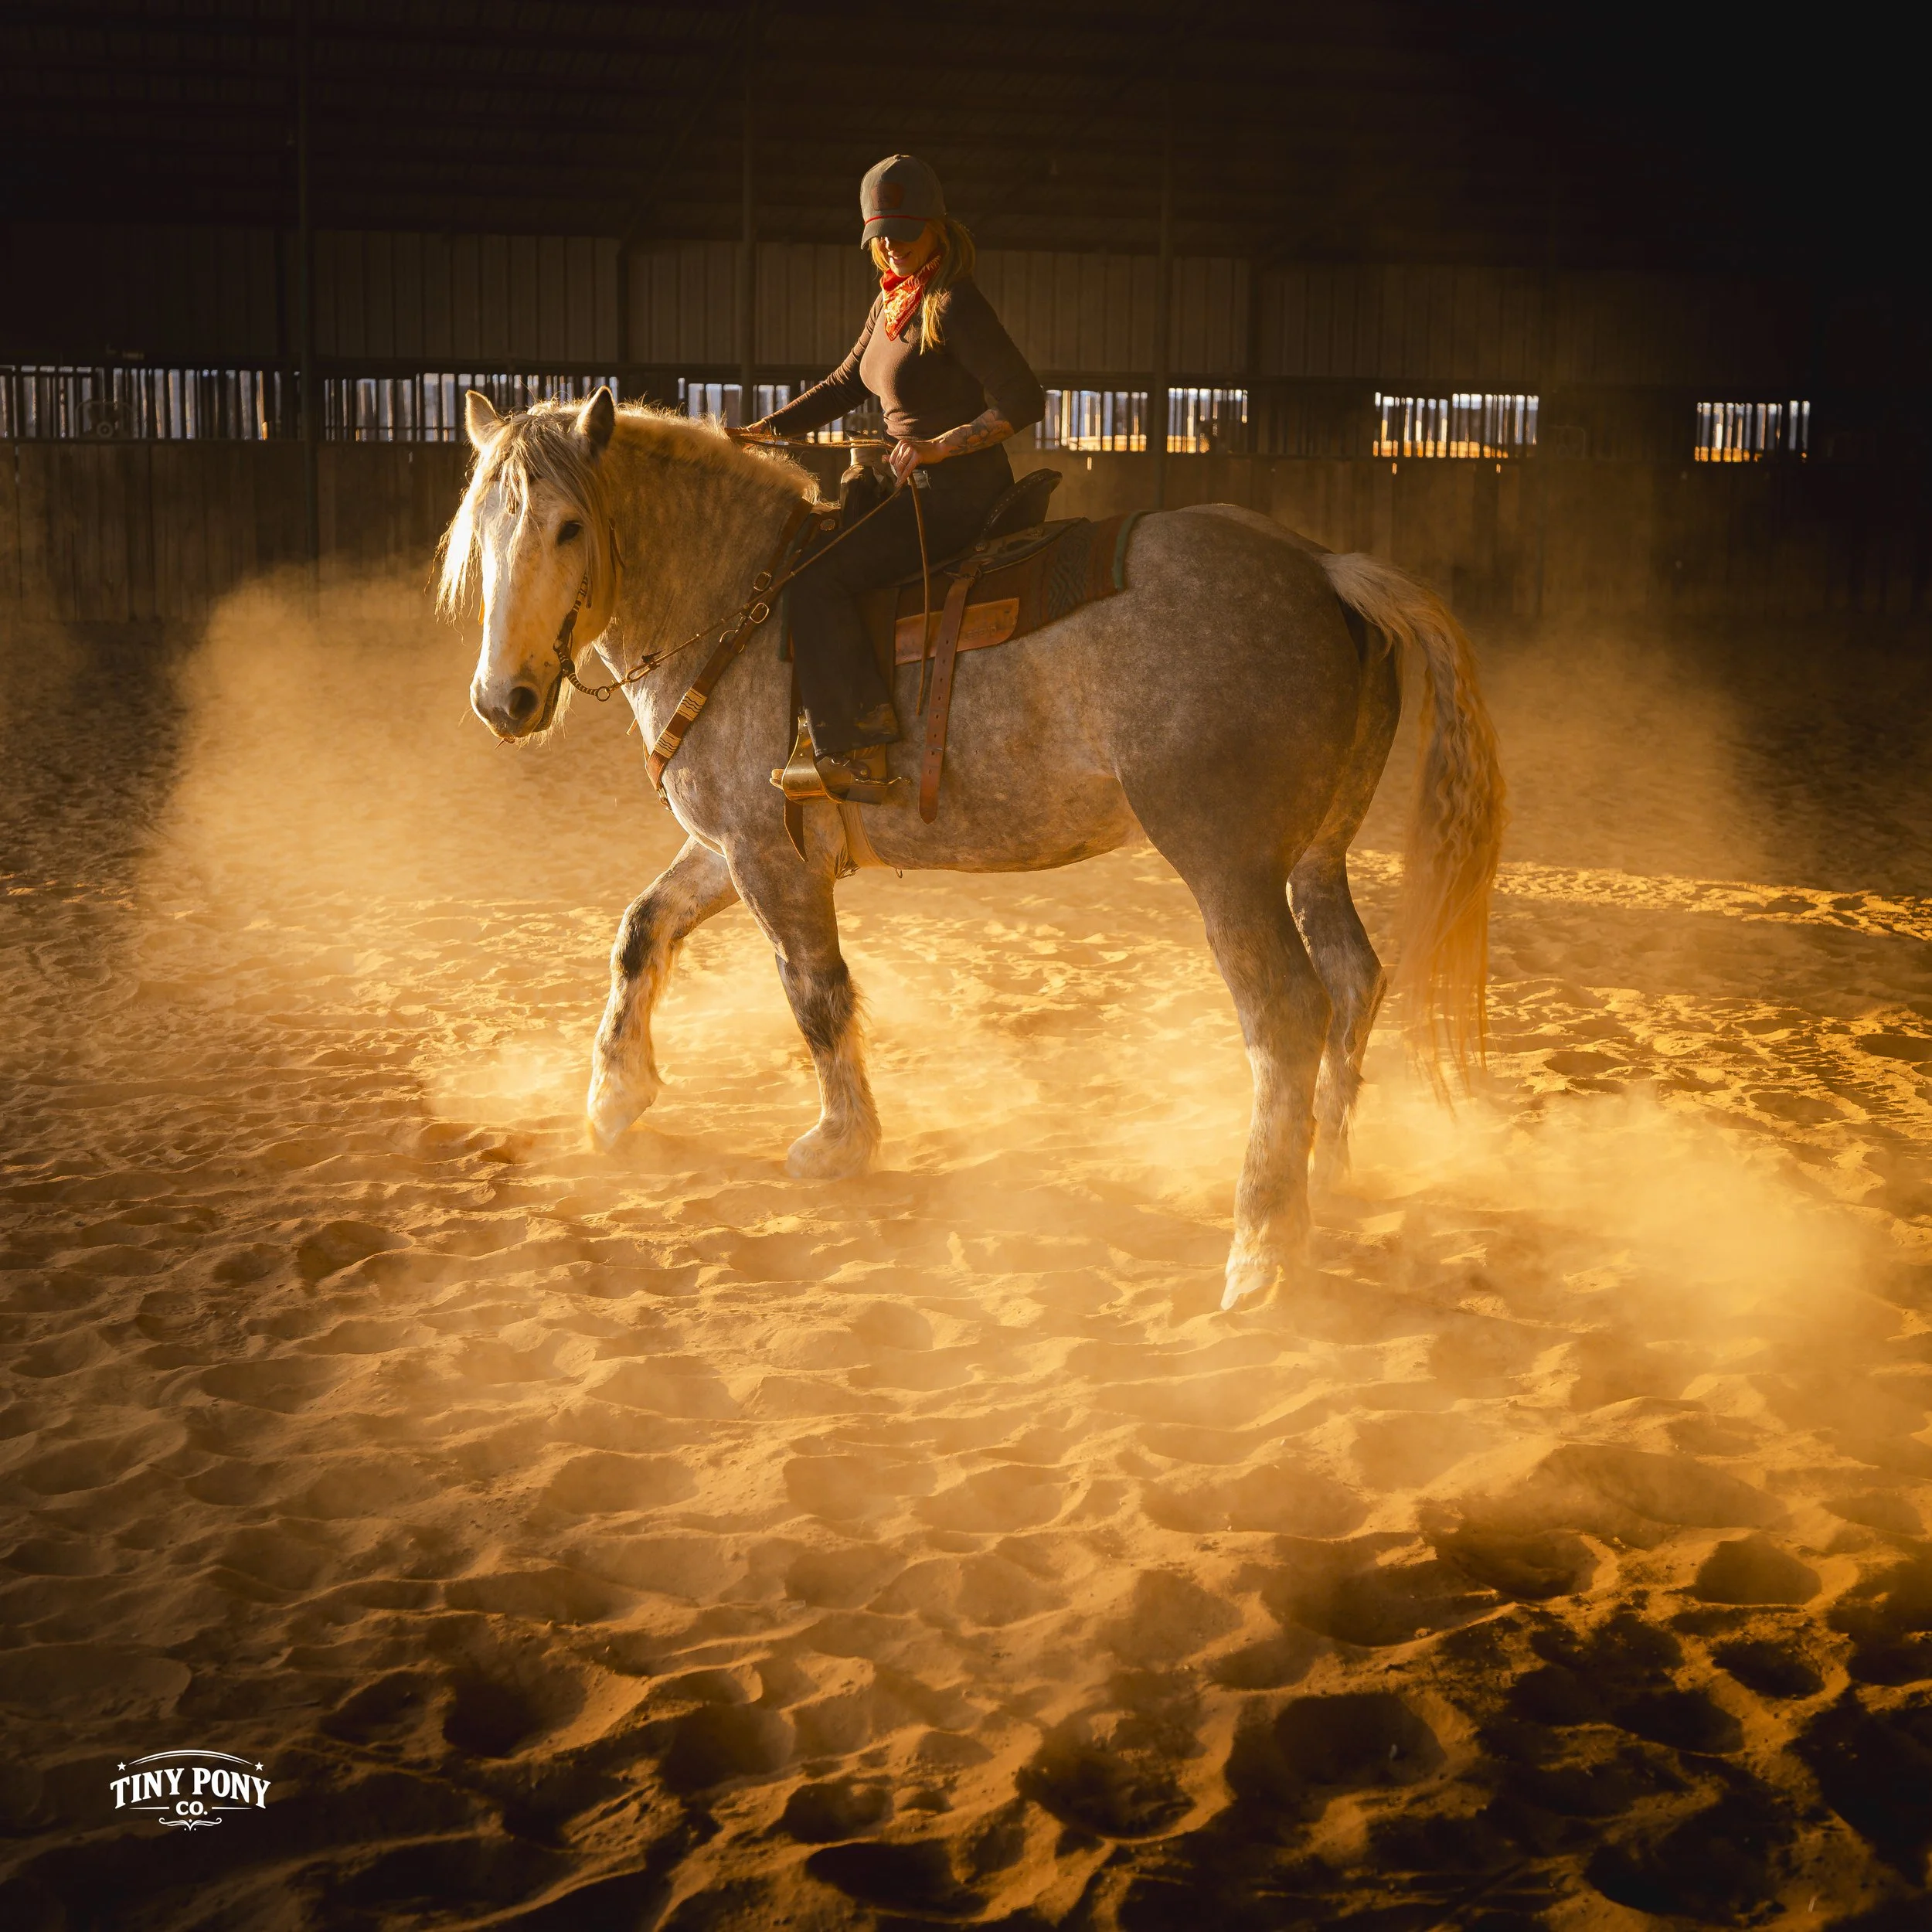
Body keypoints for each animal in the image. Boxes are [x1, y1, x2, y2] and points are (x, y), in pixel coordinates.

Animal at [439, 388, 1505, 1311]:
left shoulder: (766, 858)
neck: (742, 600)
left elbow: (814, 994)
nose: (502, 701)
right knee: (1354, 976)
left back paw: (1262, 1248)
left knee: (1285, 1015)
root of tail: (1321, 568)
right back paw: (1327, 1171)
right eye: (482, 532)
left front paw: (839, 1143)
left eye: (568, 526)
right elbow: (641, 931)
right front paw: (615, 1097)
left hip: (1228, 867)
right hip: (1316, 855)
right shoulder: (728, 846)